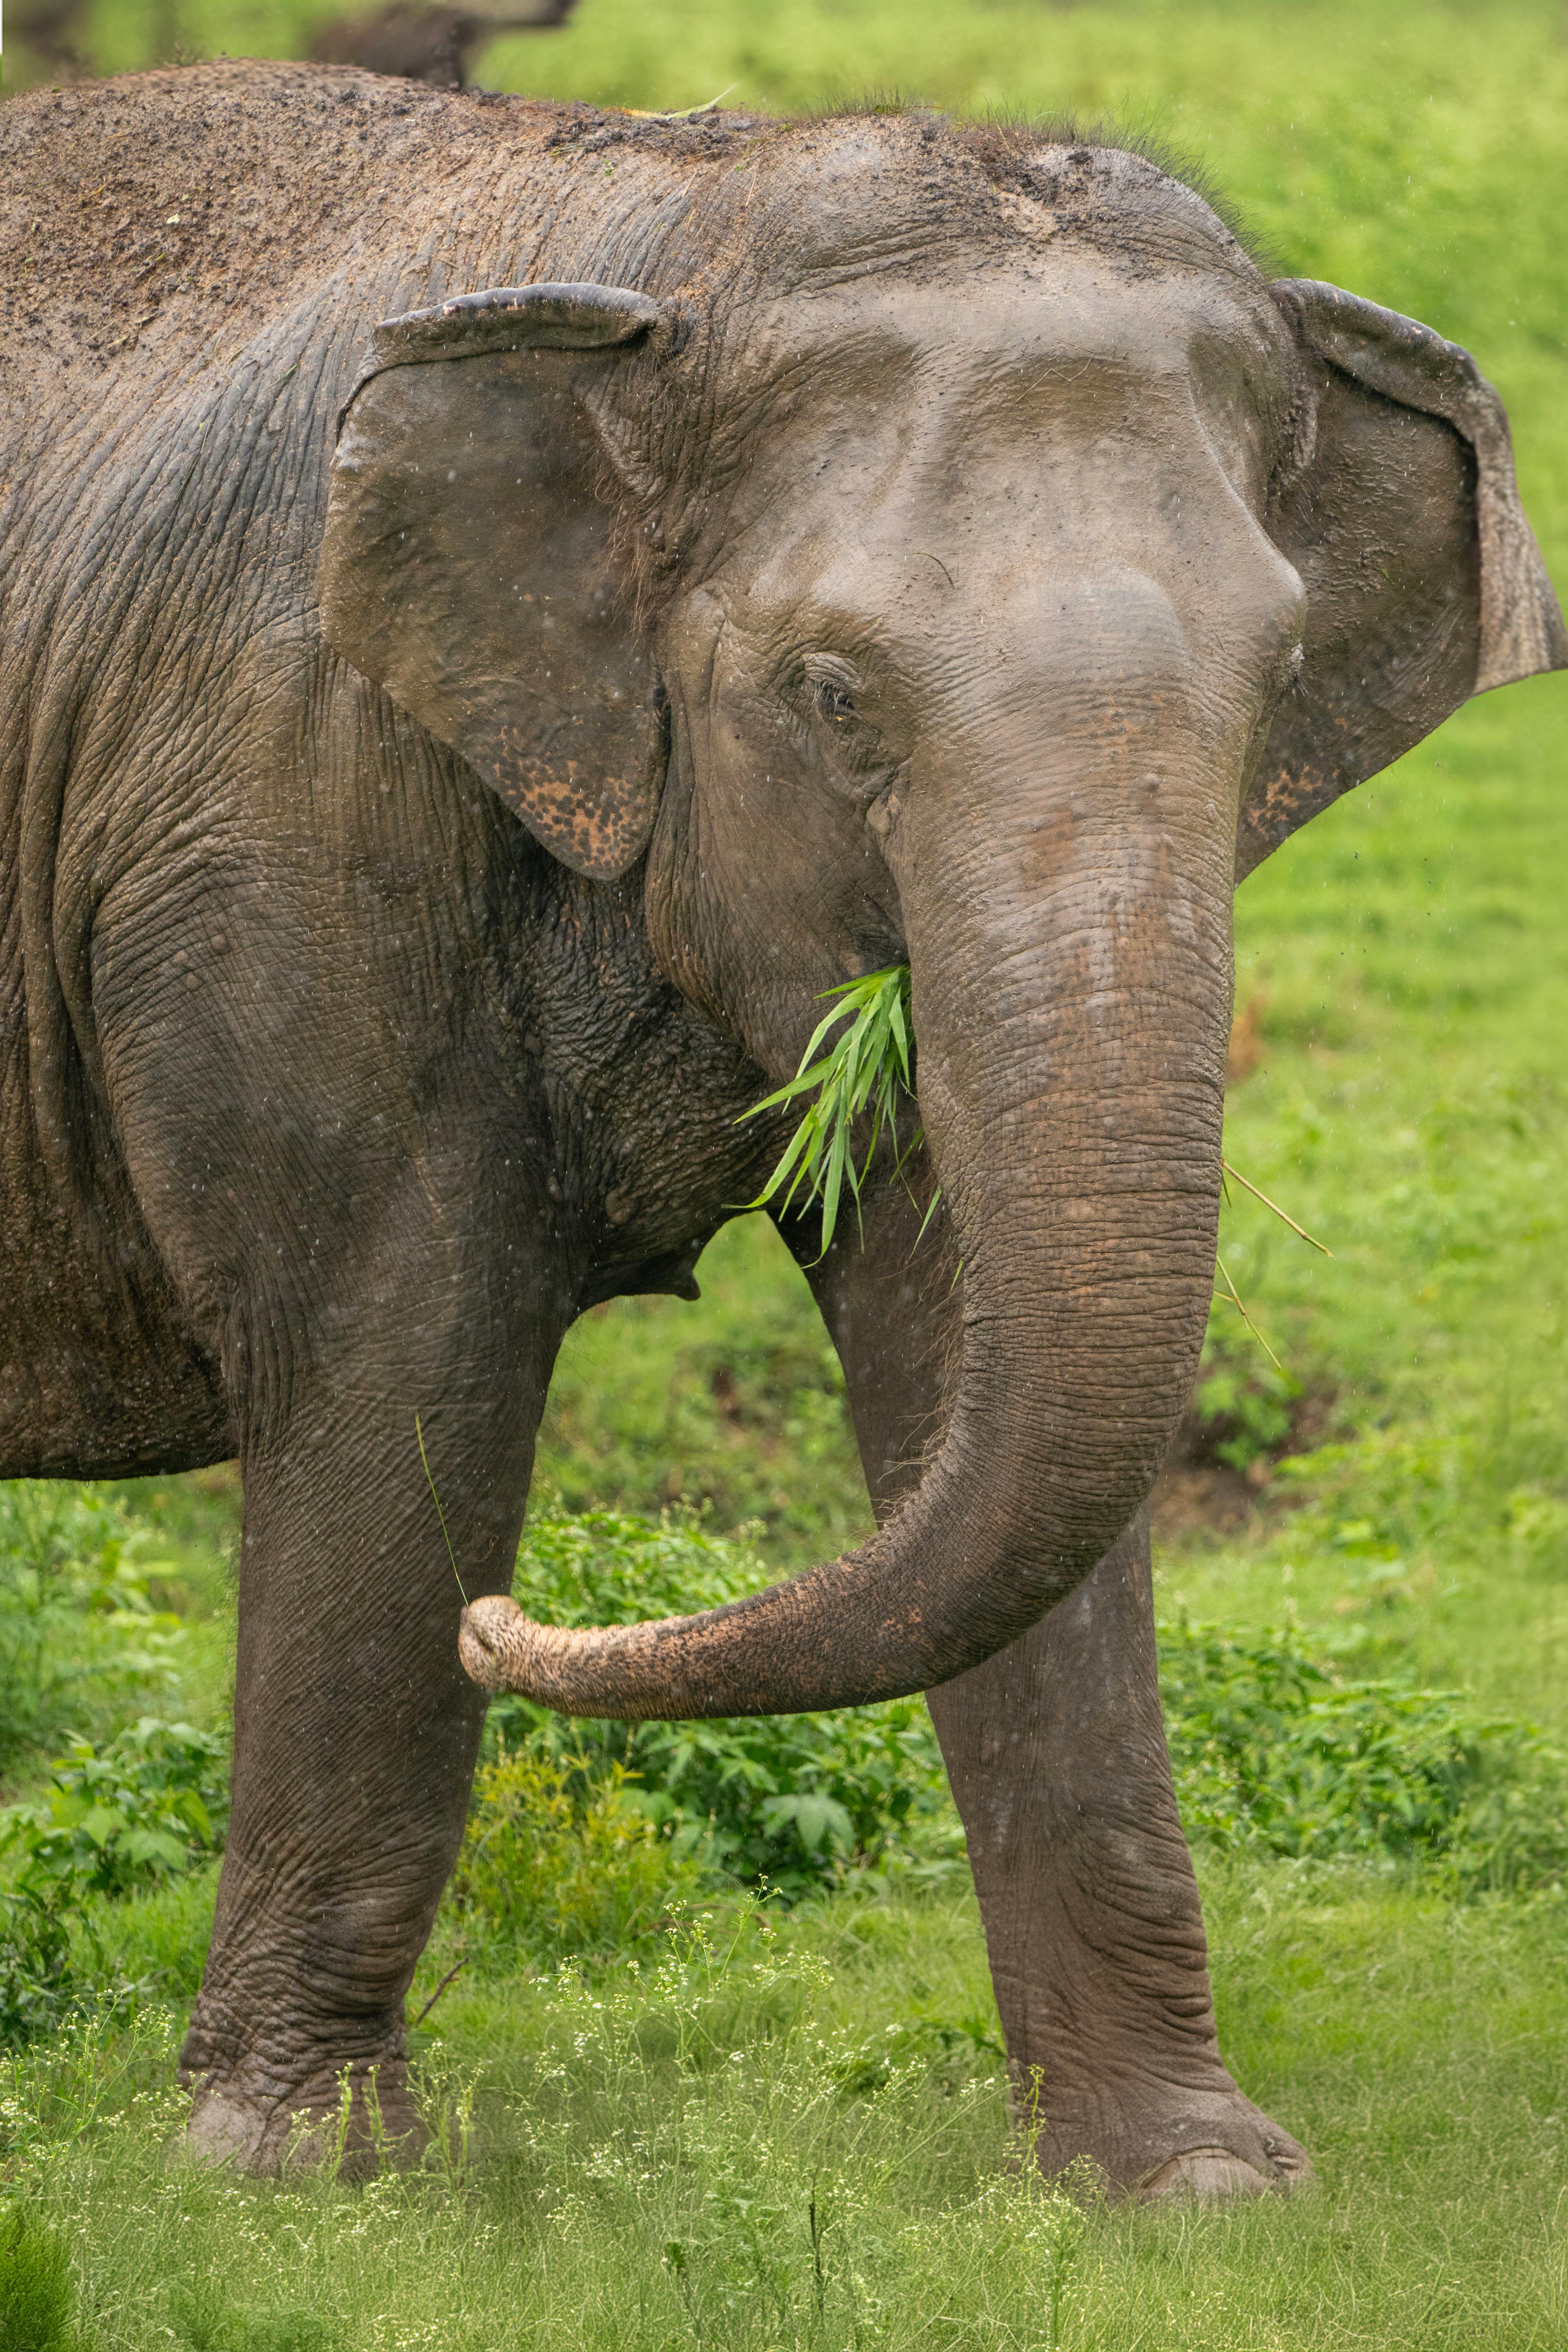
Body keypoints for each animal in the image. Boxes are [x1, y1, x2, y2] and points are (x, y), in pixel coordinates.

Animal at [2, 61, 1562, 2190]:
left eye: (1280, 686)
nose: (517, 1624)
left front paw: (1191, 2186)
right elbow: (402, 1341)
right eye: (831, 696)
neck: (681, 216)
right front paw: (293, 2178)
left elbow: (957, 1368)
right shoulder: (272, 802)